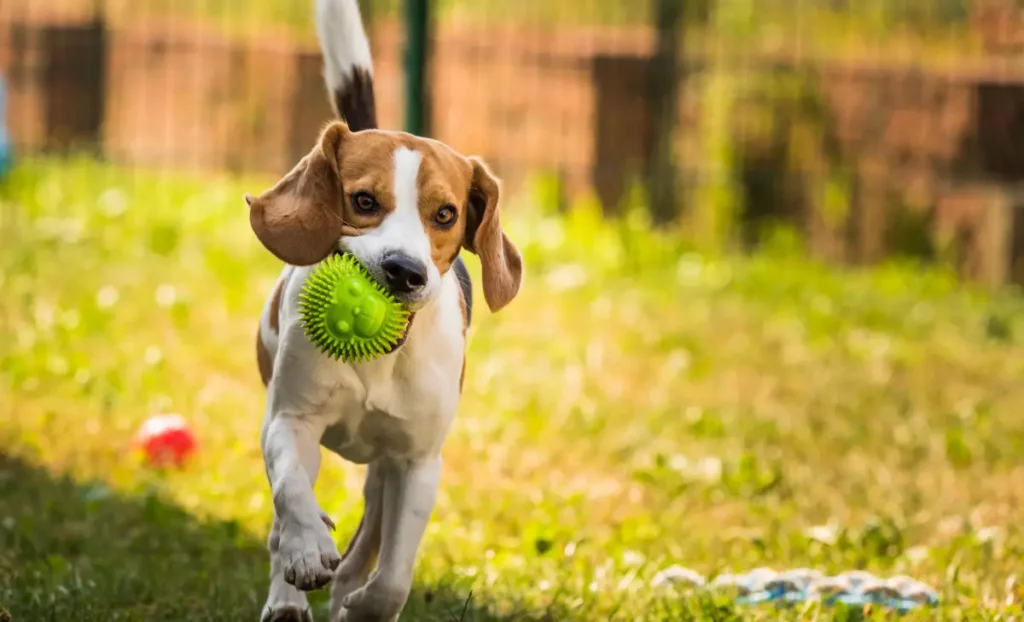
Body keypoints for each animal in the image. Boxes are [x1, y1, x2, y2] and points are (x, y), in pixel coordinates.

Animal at [244, 2, 524, 618]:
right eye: (364, 201)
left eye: (445, 215)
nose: (403, 270)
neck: (379, 356)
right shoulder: (289, 418)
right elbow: (291, 492)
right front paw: (306, 549)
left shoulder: (417, 463)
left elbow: (393, 574)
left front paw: (365, 604)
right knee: (284, 519)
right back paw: (287, 592)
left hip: (382, 473)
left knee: (367, 541)